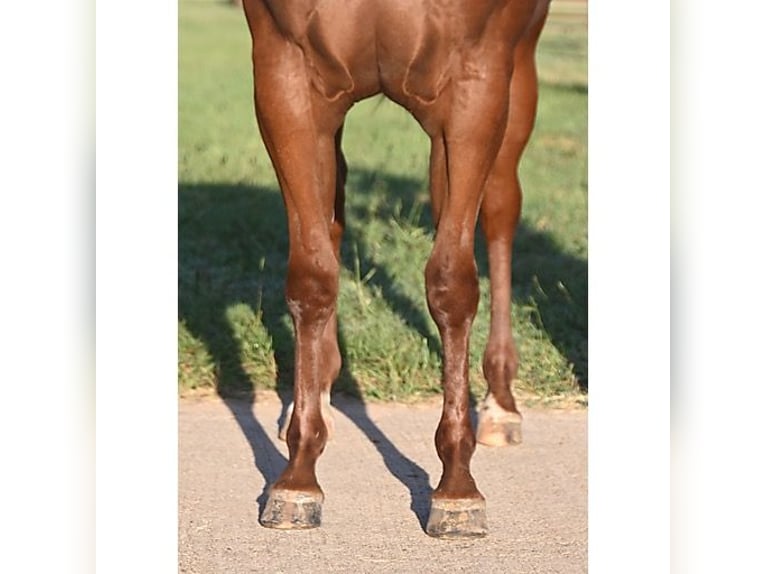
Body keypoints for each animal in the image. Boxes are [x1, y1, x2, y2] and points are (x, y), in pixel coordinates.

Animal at [246, 0, 552, 540]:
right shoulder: (285, 75)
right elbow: (312, 276)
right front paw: (298, 477)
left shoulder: (476, 82)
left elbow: (452, 283)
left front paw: (457, 488)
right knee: (334, 214)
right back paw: (317, 394)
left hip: (515, 72)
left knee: (498, 211)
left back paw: (500, 403)